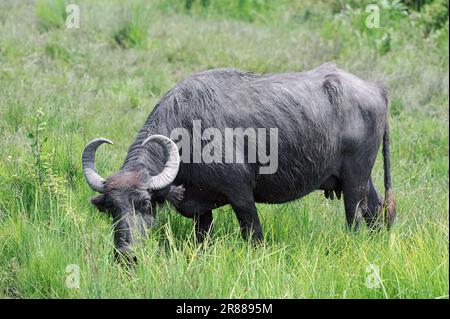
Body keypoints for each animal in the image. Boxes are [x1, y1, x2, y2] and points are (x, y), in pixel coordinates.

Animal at [82, 63, 396, 260]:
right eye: (111, 209)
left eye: (146, 204)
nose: (126, 255)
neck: (190, 133)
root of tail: (378, 89)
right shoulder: (201, 209)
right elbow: (202, 238)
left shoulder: (241, 195)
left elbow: (253, 236)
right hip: (363, 179)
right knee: (378, 214)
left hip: (354, 181)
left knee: (355, 219)